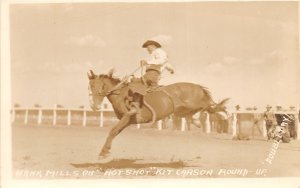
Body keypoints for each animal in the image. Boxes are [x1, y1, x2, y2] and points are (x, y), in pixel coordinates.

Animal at [88, 68, 229, 159]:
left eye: (97, 85)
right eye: (89, 86)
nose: (94, 106)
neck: (121, 95)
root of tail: (198, 86)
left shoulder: (127, 117)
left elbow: (112, 131)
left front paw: (103, 152)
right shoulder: (127, 121)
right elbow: (115, 132)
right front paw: (105, 150)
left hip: (192, 104)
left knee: (207, 107)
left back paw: (215, 114)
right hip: (183, 108)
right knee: (202, 110)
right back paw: (196, 119)